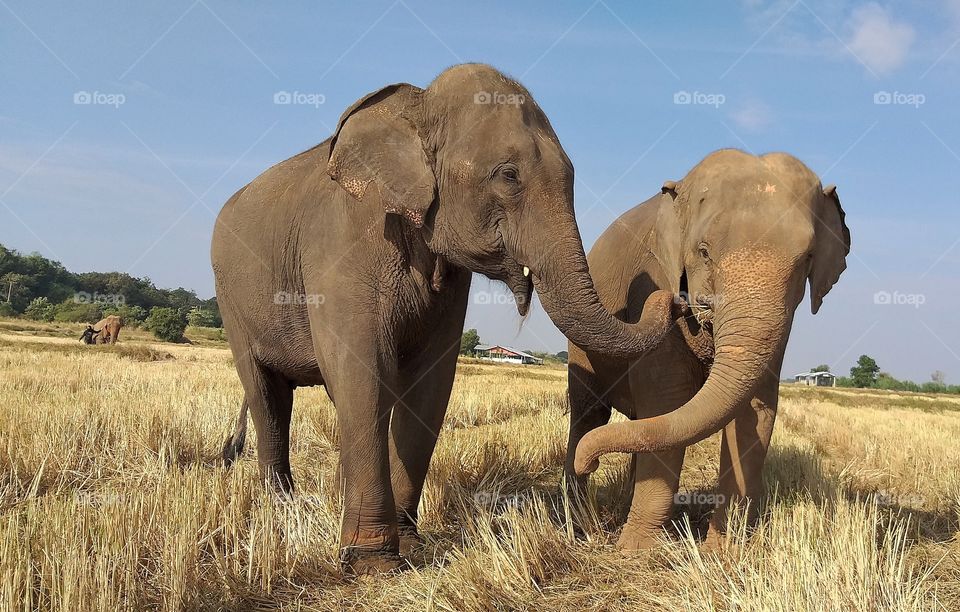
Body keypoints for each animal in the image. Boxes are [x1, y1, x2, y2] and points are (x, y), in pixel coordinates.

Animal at [212, 64, 683, 574]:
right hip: (231, 299)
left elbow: (431, 384)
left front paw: (410, 547)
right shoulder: (341, 243)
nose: (673, 297)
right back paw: (279, 508)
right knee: (267, 396)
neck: (417, 105)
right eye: (508, 175)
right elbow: (362, 372)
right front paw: (373, 563)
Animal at [565, 149, 849, 549]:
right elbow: (668, 398)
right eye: (704, 252)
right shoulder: (654, 277)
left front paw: (723, 551)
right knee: (590, 411)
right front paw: (635, 552)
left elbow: (755, 408)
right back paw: (579, 520)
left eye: (807, 258)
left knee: (640, 421)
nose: (675, 304)